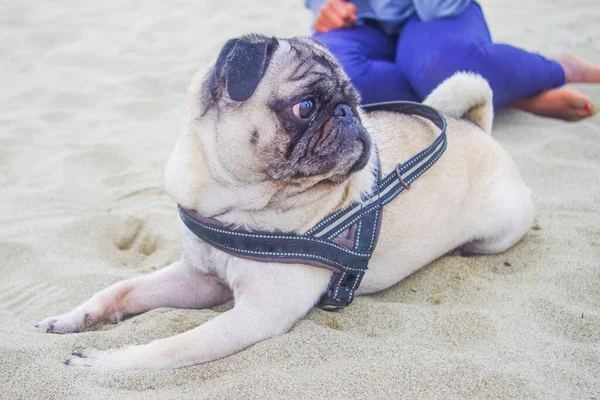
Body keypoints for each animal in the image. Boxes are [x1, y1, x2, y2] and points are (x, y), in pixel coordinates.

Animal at [36, 35, 536, 372]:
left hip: (497, 234)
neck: (233, 204)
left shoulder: (256, 315)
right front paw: (76, 316)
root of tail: (473, 126)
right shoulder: (199, 278)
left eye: (355, 102)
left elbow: (174, 346)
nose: (348, 113)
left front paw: (107, 362)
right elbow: (122, 289)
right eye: (306, 107)